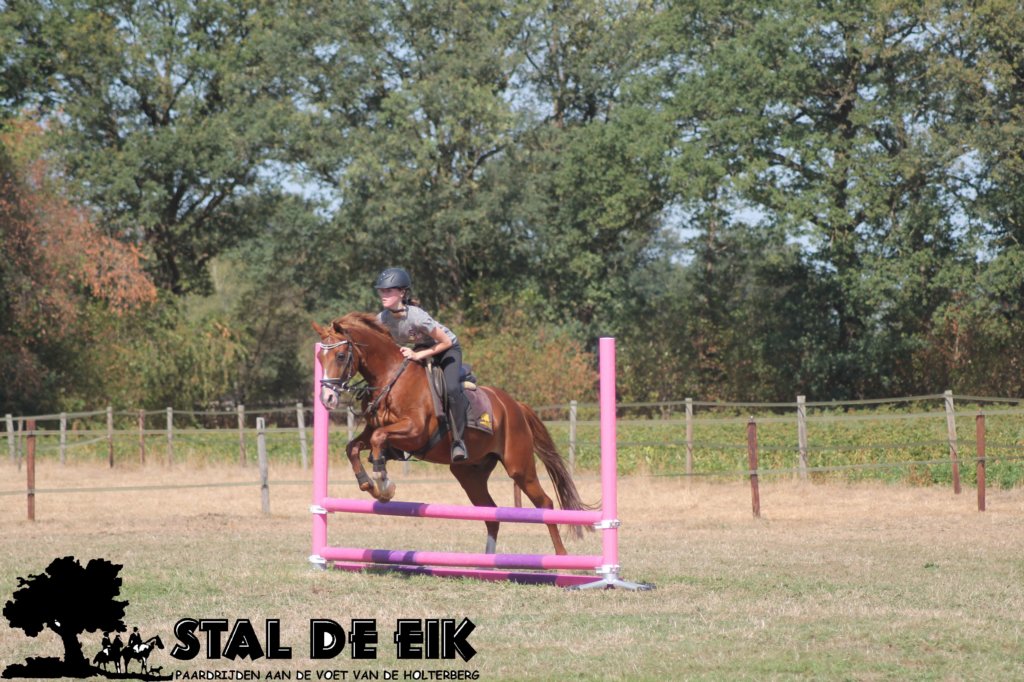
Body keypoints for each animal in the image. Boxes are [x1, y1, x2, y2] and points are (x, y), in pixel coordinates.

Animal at [312, 312, 593, 555]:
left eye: (340, 355)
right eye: (319, 359)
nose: (327, 399)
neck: (390, 377)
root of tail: (515, 407)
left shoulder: (414, 432)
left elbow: (378, 438)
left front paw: (383, 483)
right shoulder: (377, 431)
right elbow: (355, 446)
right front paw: (368, 483)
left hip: (519, 467)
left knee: (544, 504)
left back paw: (561, 558)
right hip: (469, 474)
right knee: (490, 513)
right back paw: (487, 563)